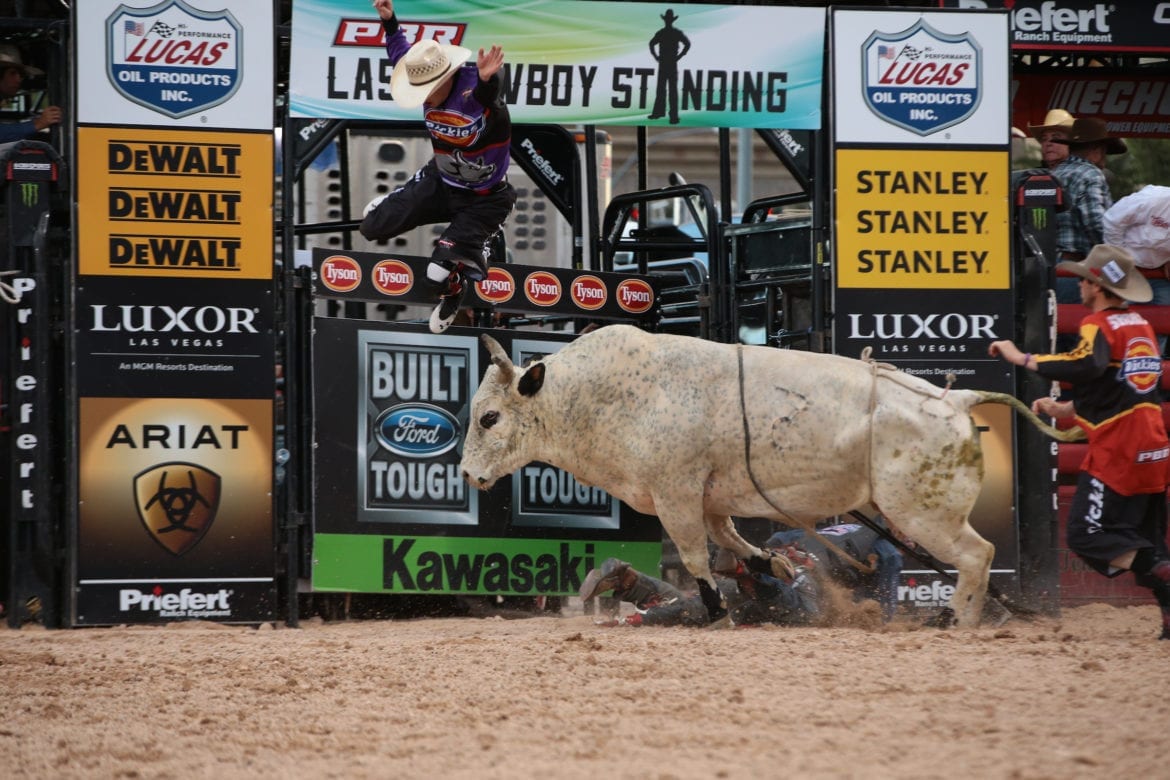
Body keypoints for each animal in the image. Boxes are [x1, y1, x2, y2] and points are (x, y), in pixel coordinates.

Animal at [459, 325, 1080, 627]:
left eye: (489, 417)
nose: (466, 473)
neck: (605, 395)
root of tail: (955, 399)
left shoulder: (676, 493)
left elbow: (695, 558)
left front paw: (717, 613)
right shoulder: (709, 497)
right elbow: (732, 542)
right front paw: (772, 564)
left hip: (925, 513)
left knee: (977, 555)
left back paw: (957, 618)